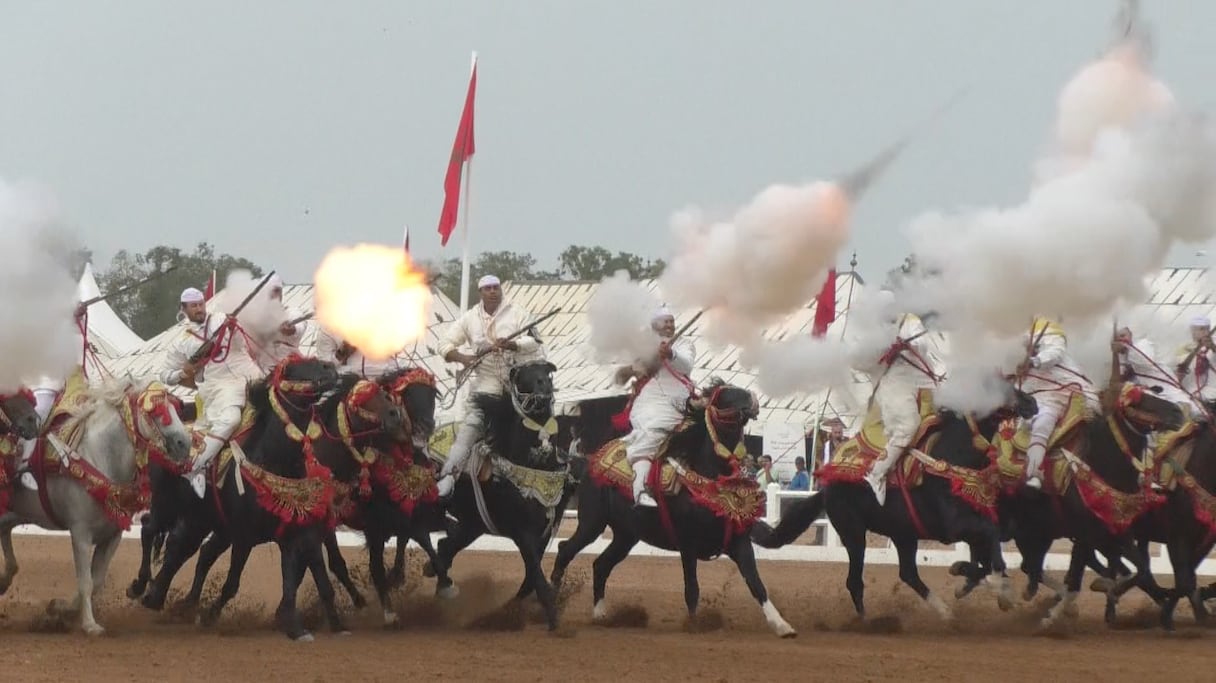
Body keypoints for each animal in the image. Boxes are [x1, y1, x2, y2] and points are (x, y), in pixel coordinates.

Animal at [0, 371, 189, 631]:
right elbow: (85, 581)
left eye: (175, 407)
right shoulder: (80, 532)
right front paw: (89, 624)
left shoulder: (113, 534)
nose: (185, 444)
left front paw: (61, 609)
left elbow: (97, 580)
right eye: (156, 412)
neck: (99, 457)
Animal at [138, 357, 403, 636]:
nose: (395, 416)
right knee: (152, 530)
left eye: (383, 393)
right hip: (169, 507)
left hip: (201, 520)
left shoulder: (295, 530)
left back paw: (168, 600)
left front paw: (301, 621)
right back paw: (145, 588)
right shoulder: (250, 534)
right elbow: (239, 581)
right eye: (362, 400)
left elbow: (300, 576)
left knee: (186, 548)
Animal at [423, 359, 573, 631]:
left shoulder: (544, 531)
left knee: (446, 545)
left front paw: (514, 609)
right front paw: (553, 621)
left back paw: (439, 579)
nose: (543, 393)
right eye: (523, 378)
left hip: (473, 524)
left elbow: (531, 577)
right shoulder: (523, 533)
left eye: (546, 374)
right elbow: (536, 576)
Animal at [549, 379, 797, 636]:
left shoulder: (739, 542)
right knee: (565, 550)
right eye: (724, 396)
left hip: (626, 536)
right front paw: (694, 625)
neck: (709, 485)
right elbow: (692, 589)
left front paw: (782, 625)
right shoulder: (687, 543)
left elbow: (756, 584)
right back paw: (551, 606)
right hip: (592, 524)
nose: (752, 399)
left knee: (601, 564)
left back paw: (600, 614)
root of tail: (586, 463)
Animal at [749, 384, 1036, 622]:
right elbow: (989, 543)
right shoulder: (955, 527)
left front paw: (980, 582)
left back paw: (946, 612)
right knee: (855, 581)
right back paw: (866, 622)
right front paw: (1000, 589)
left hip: (903, 535)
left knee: (908, 573)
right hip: (854, 534)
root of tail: (828, 487)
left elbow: (988, 547)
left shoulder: (974, 522)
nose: (1031, 402)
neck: (951, 459)